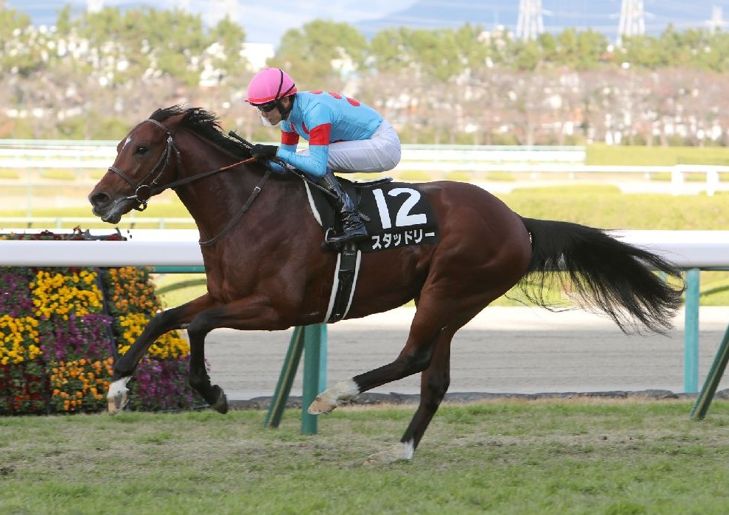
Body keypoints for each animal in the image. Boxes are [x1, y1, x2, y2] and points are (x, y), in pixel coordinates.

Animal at [88, 105, 684, 464]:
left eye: (142, 149)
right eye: (119, 144)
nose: (99, 198)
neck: (247, 208)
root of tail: (517, 219)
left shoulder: (276, 308)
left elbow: (199, 328)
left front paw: (212, 392)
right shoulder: (228, 293)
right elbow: (166, 318)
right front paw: (117, 388)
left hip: (449, 289)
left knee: (413, 358)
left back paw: (332, 396)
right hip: (453, 301)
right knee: (435, 377)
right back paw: (400, 450)